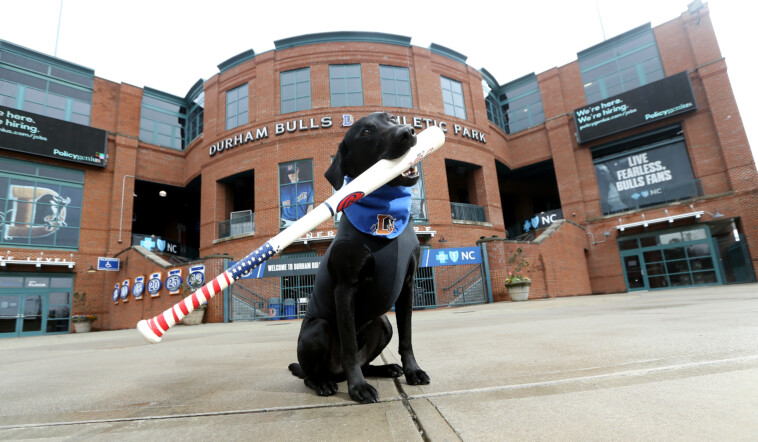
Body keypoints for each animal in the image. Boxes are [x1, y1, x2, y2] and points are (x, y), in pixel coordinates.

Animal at [290, 111, 430, 404]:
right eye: (366, 132)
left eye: (392, 119)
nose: (408, 132)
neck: (384, 210)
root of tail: (336, 373)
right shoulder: (345, 288)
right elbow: (350, 347)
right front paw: (358, 388)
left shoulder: (408, 285)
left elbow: (407, 337)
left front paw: (413, 371)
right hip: (318, 327)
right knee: (311, 374)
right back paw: (323, 382)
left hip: (383, 322)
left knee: (368, 359)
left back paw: (387, 368)